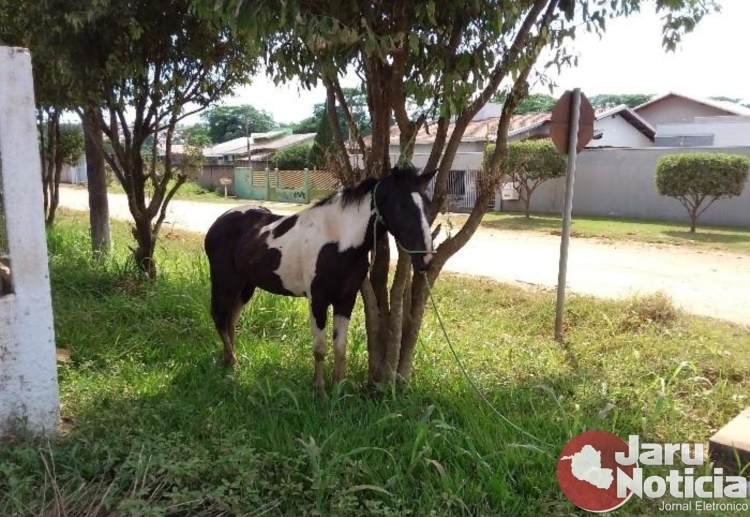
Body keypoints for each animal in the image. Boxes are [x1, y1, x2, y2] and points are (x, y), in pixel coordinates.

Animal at [206, 165, 438, 388]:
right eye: (402, 206)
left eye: (428, 205)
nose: (426, 259)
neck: (338, 240)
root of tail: (220, 220)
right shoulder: (317, 300)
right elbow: (319, 348)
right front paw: (319, 389)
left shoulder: (346, 300)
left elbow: (340, 347)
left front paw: (338, 386)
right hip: (225, 281)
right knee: (220, 317)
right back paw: (233, 364)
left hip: (245, 286)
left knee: (231, 319)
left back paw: (229, 360)